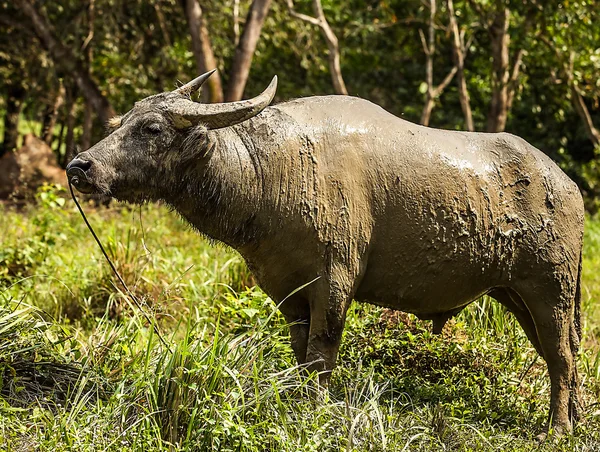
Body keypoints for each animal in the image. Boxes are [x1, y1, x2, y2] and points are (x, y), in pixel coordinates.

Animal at [68, 71, 584, 434]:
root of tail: (568, 187)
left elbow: (322, 350)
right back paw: (575, 418)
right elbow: (300, 351)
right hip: (516, 295)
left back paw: (557, 428)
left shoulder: (335, 279)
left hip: (551, 290)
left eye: (152, 128)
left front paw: (315, 411)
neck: (270, 174)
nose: (80, 166)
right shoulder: (284, 288)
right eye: (121, 123)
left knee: (560, 356)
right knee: (563, 355)